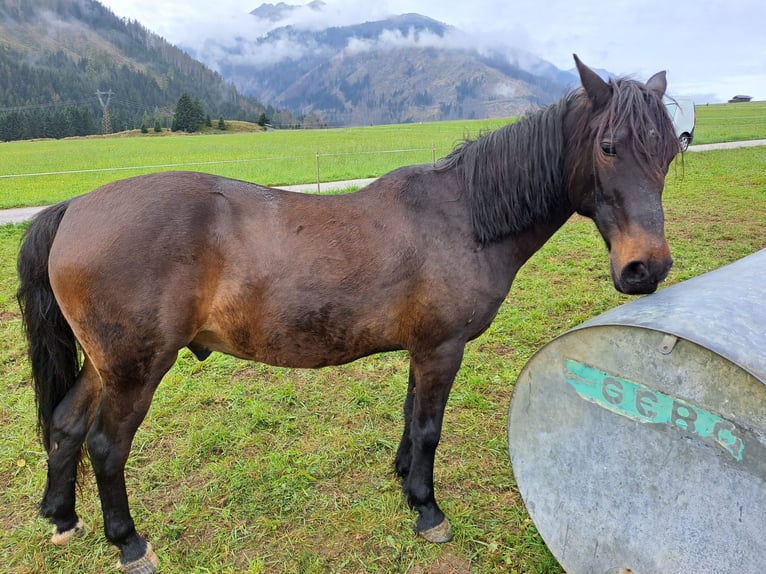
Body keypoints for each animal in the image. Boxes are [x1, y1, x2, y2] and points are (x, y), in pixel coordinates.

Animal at [16, 56, 680, 572]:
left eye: (671, 152)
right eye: (608, 147)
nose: (645, 269)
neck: (462, 217)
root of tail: (76, 207)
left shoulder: (424, 349)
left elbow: (412, 419)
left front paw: (406, 483)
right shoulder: (443, 348)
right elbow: (430, 427)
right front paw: (429, 510)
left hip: (105, 365)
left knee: (67, 425)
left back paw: (63, 517)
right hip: (136, 370)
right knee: (106, 446)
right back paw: (129, 544)